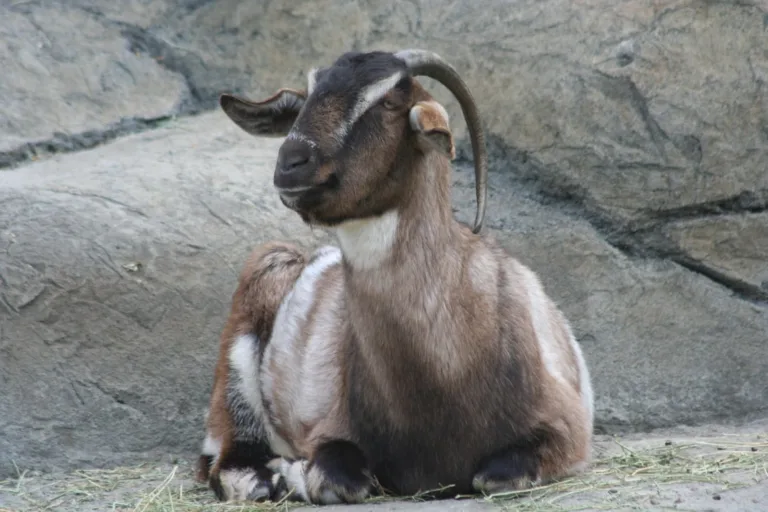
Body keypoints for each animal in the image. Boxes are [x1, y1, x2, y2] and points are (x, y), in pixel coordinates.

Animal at [196, 49, 594, 505]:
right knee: (226, 459)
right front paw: (294, 472)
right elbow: (337, 480)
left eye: (387, 102)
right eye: (307, 98)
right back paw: (265, 476)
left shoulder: (570, 429)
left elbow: (496, 476)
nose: (291, 164)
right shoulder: (330, 427)